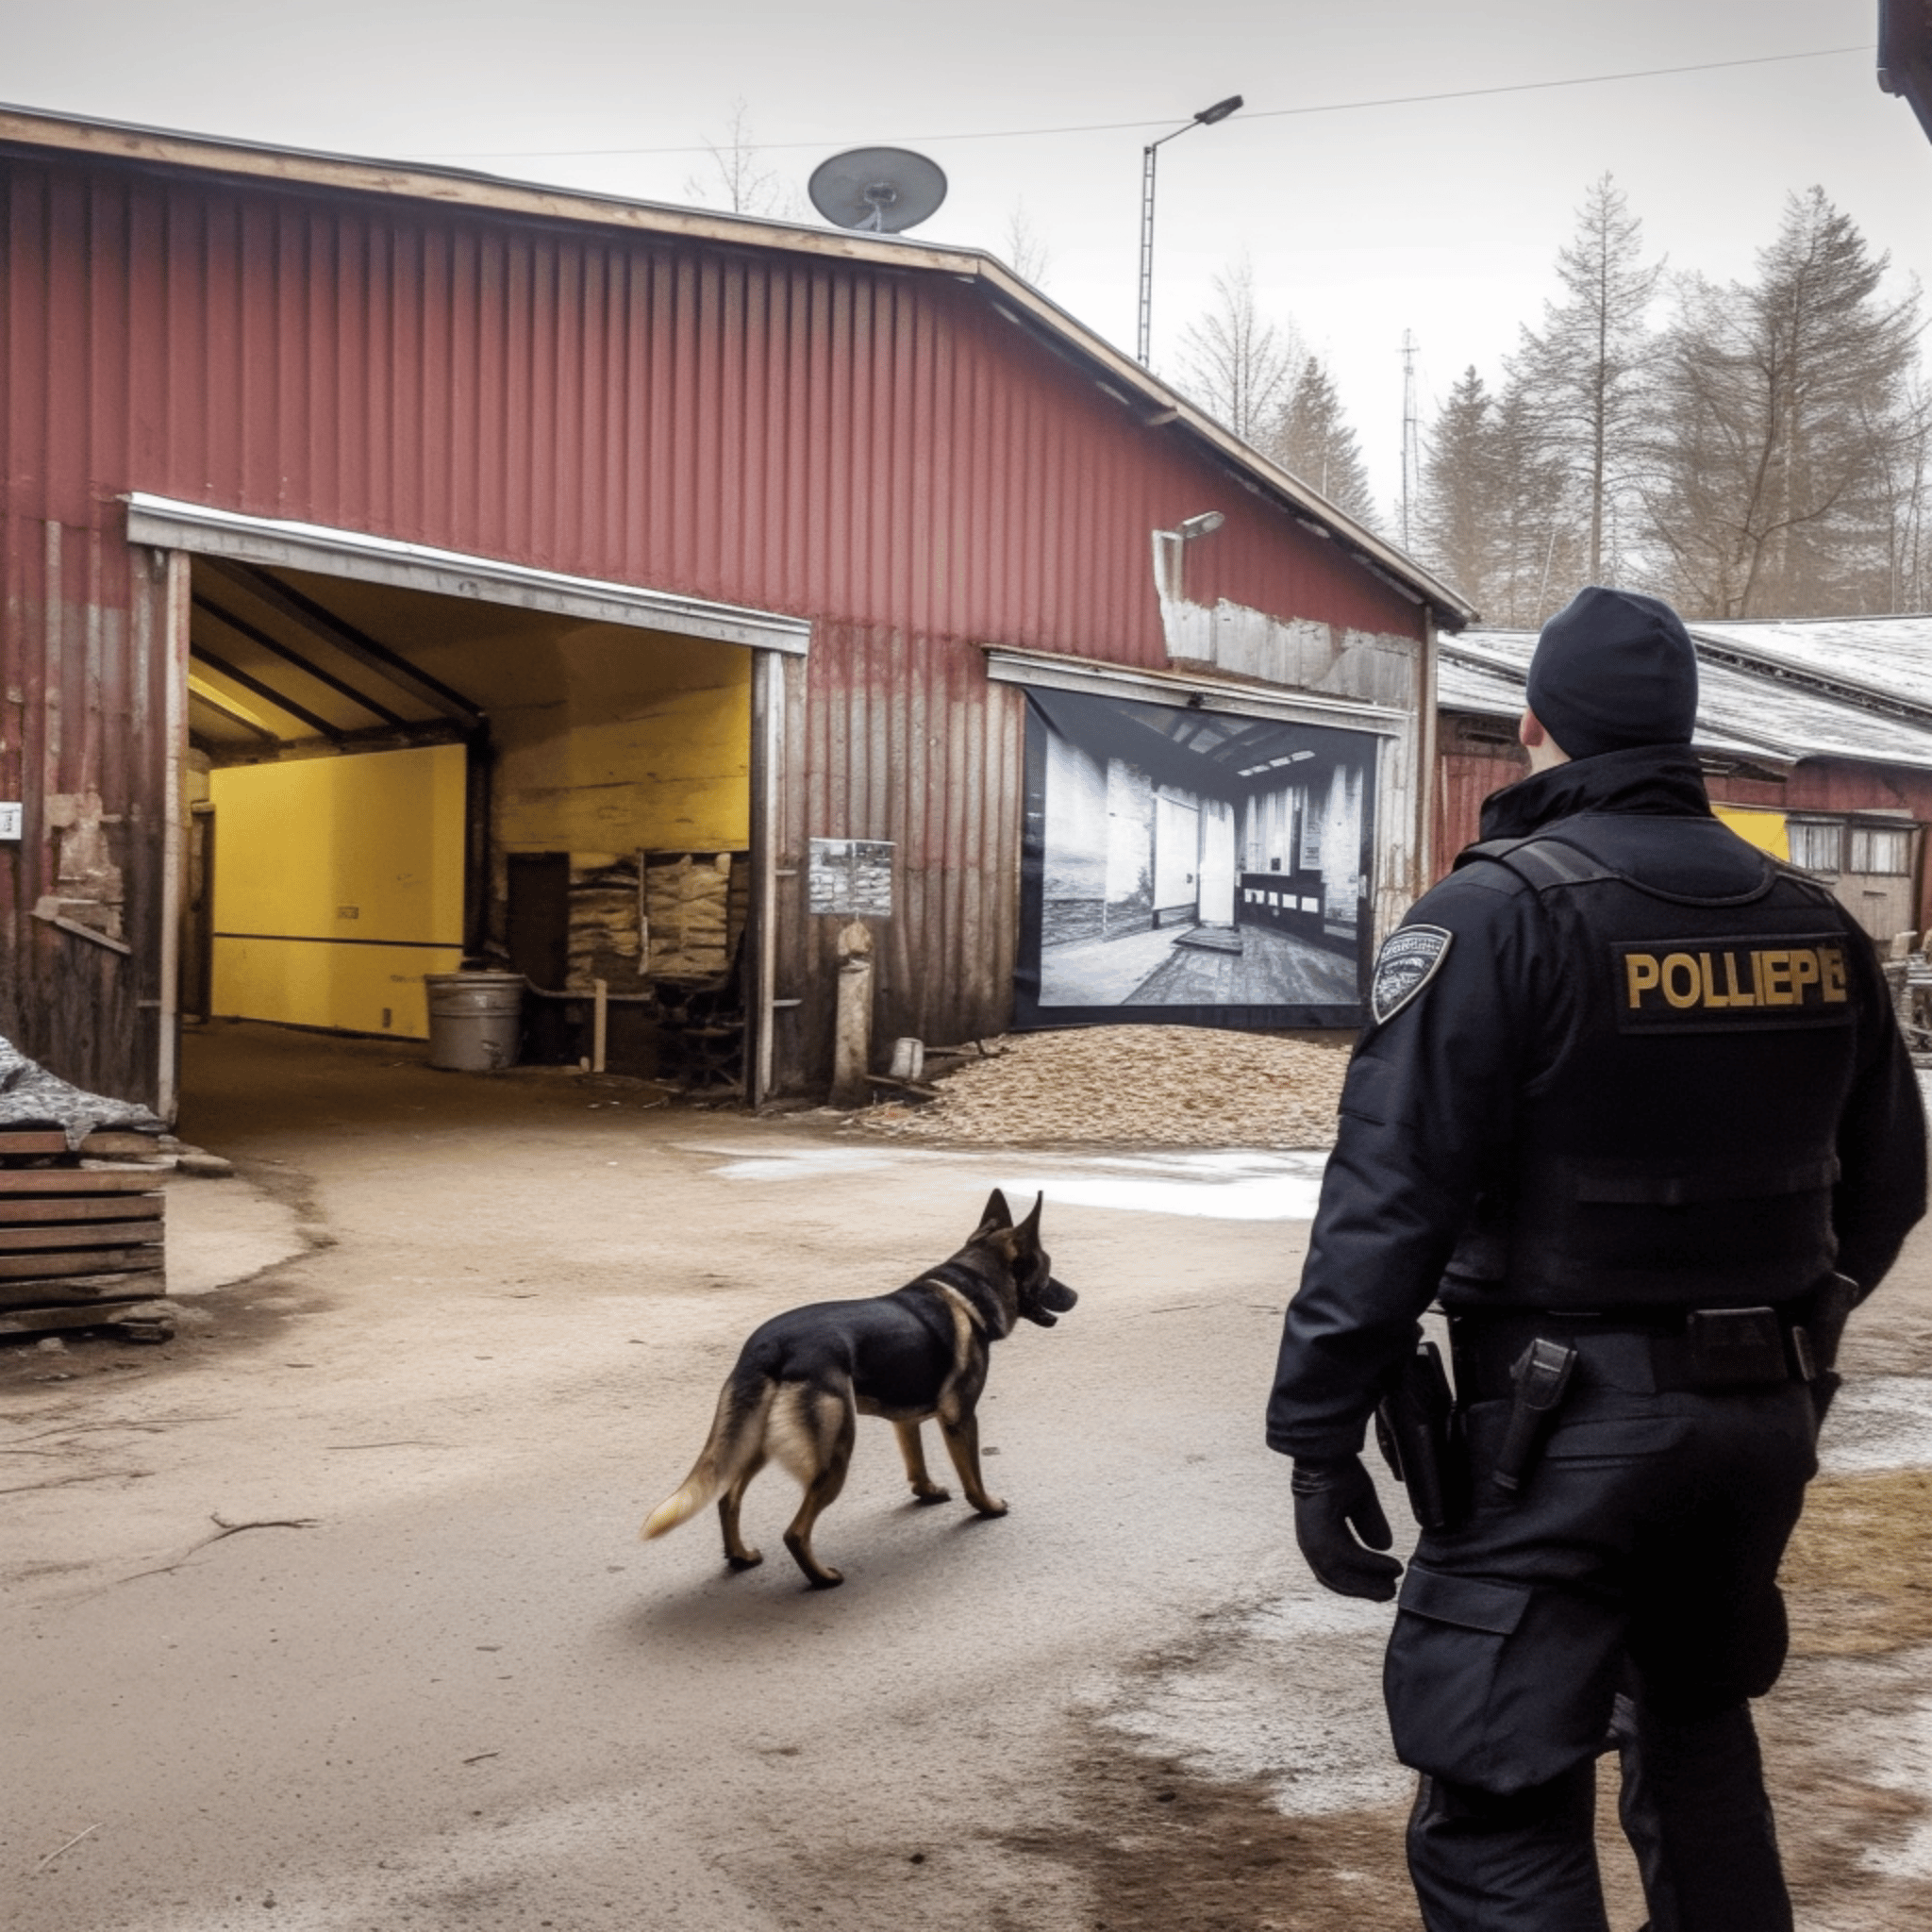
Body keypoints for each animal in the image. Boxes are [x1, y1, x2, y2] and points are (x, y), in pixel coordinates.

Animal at [641, 1190, 1081, 1584]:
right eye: (1048, 1270)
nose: (1076, 1295)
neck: (968, 1290)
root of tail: (768, 1347)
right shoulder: (961, 1419)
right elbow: (972, 1477)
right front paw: (987, 1507)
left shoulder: (906, 1421)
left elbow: (916, 1463)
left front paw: (927, 1491)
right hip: (833, 1455)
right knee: (794, 1532)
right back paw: (821, 1577)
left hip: (755, 1443)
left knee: (728, 1499)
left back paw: (740, 1556)